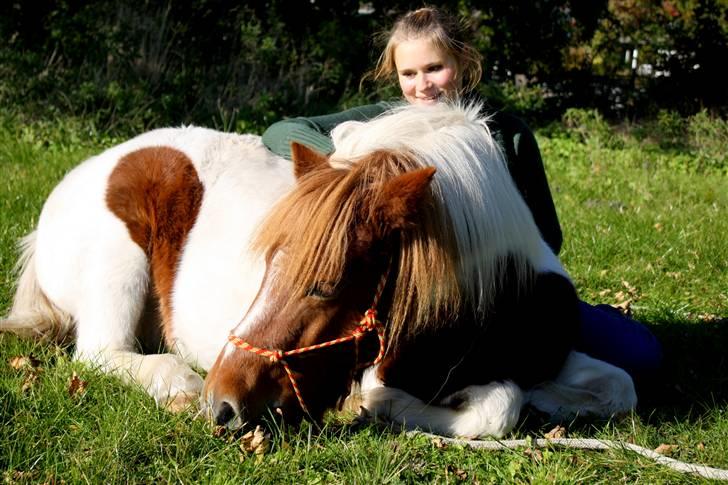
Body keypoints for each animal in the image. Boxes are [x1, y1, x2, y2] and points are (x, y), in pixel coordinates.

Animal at [0, 102, 636, 434]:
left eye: (327, 285)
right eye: (266, 265)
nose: (223, 404)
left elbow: (617, 385)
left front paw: (550, 401)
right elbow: (495, 407)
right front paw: (379, 406)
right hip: (119, 267)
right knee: (100, 352)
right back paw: (177, 382)